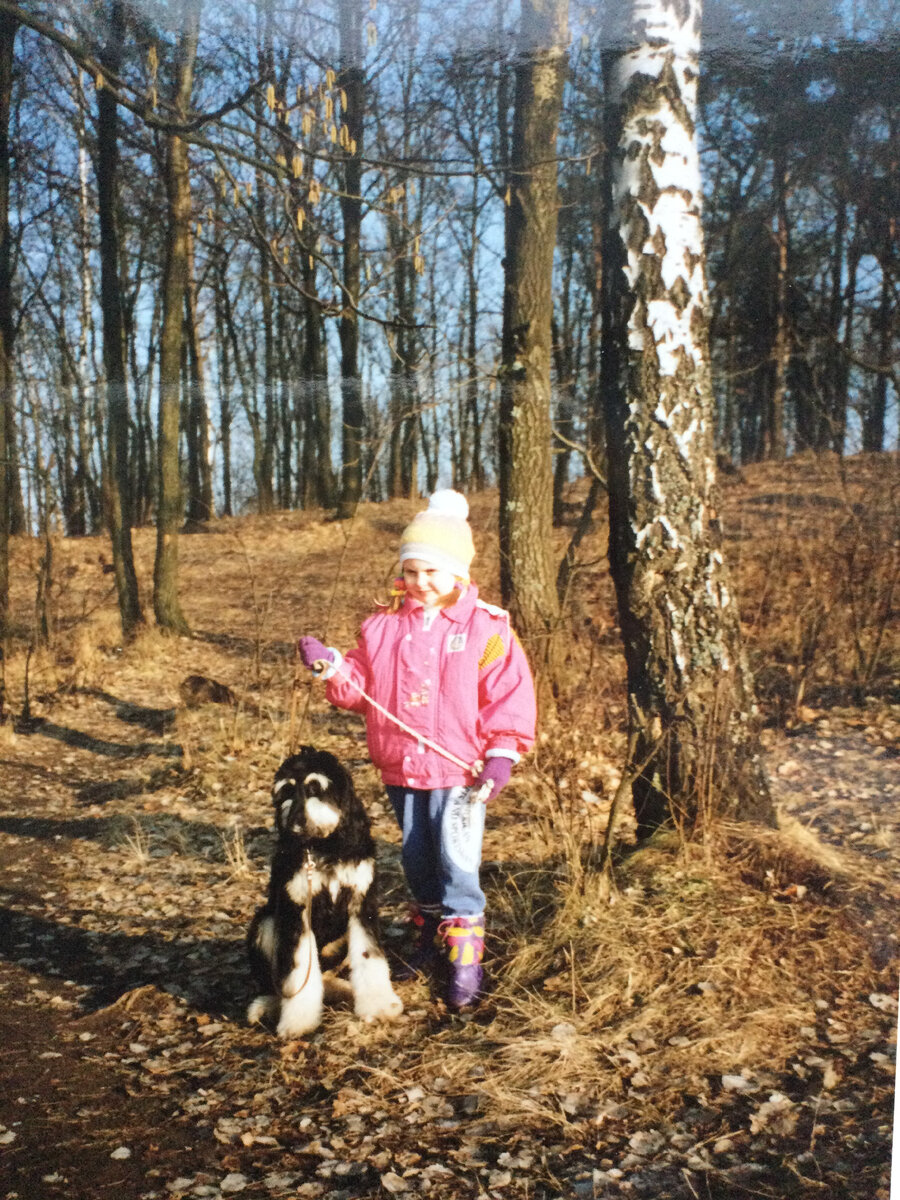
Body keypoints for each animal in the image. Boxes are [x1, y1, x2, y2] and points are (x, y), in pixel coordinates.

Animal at [244, 744, 403, 1036]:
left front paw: (379, 1005)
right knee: (278, 983)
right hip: (266, 922)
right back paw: (268, 1005)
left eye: (315, 788)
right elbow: (297, 967)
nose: (295, 824)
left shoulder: (361, 904)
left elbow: (369, 955)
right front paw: (298, 1022)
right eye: (286, 791)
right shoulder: (296, 911)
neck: (323, 847)